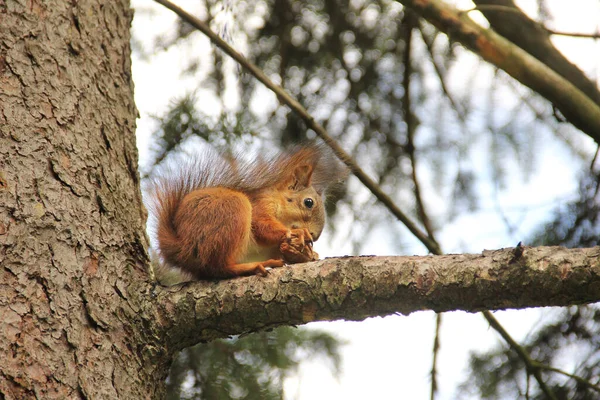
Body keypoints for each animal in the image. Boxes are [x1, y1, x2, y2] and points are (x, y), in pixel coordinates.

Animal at [148, 142, 346, 282]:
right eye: (308, 202)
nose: (314, 235)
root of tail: (182, 247)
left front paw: (306, 255)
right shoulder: (261, 205)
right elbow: (261, 226)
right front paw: (298, 233)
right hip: (234, 209)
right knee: (219, 266)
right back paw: (254, 266)